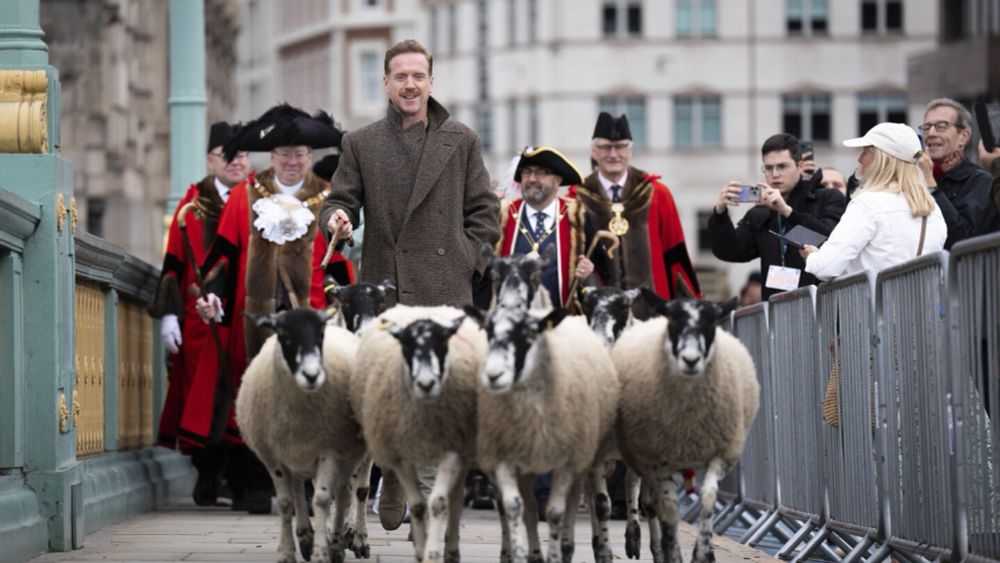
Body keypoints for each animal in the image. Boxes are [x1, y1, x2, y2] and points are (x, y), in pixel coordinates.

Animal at [234, 308, 368, 563]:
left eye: (319, 332)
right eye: (283, 333)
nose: (311, 375)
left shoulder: (330, 450)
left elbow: (324, 499)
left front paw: (323, 552)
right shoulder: (276, 457)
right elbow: (287, 503)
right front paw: (290, 552)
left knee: (352, 492)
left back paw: (351, 540)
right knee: (306, 491)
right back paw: (309, 537)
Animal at [466, 306, 620, 563]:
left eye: (530, 334)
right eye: (489, 332)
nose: (495, 374)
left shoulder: (573, 462)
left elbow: (565, 510)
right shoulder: (509, 462)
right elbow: (520, 509)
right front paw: (528, 554)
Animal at [612, 296, 760, 563]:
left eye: (712, 323)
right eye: (674, 322)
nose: (691, 360)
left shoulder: (720, 453)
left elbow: (708, 496)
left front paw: (703, 552)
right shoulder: (657, 460)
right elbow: (668, 507)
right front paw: (671, 551)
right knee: (633, 488)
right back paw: (636, 538)